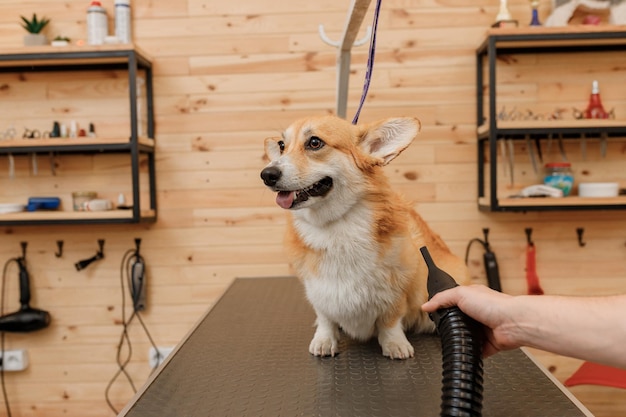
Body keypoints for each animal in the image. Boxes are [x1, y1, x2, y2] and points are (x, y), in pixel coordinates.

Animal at [258, 115, 468, 360]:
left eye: (315, 143)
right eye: (282, 146)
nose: (267, 175)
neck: (335, 226)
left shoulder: (397, 290)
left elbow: (390, 320)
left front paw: (395, 344)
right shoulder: (317, 291)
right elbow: (325, 317)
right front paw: (324, 340)